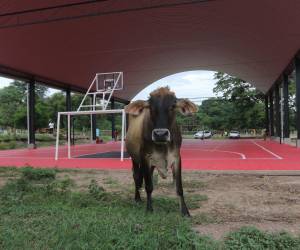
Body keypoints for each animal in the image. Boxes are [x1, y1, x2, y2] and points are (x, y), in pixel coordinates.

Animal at [125, 87, 198, 216]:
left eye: (173, 106)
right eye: (150, 106)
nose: (160, 134)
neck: (163, 145)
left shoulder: (177, 157)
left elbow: (179, 188)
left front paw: (185, 212)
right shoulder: (145, 157)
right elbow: (149, 186)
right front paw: (149, 209)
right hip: (134, 158)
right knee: (136, 176)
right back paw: (137, 198)